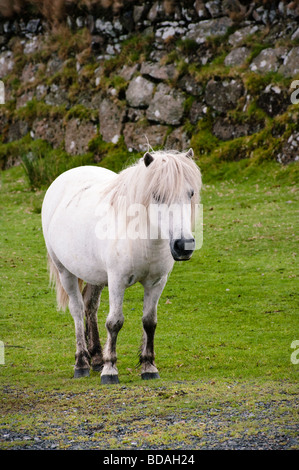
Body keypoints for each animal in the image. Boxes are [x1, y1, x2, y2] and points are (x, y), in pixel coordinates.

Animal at [41, 149, 202, 384]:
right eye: (157, 195)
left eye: (190, 193)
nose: (184, 245)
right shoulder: (117, 281)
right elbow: (114, 322)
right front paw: (110, 370)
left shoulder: (157, 282)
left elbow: (149, 322)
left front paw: (148, 366)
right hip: (65, 272)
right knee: (77, 310)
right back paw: (81, 363)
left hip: (96, 275)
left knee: (90, 306)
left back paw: (97, 358)